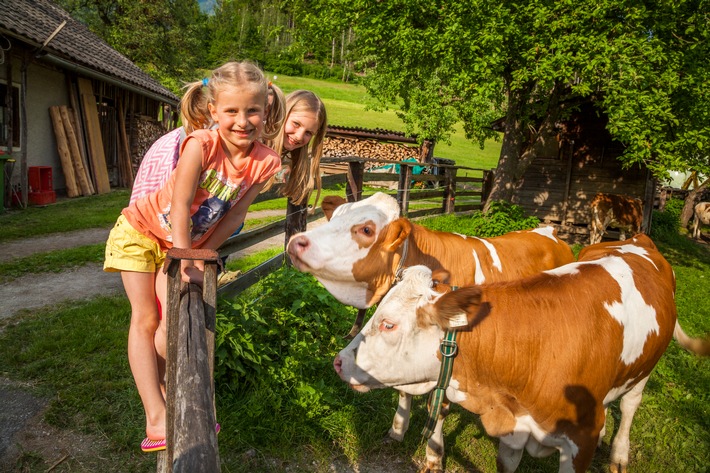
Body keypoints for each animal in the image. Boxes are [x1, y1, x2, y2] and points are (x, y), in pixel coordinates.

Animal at [286, 189, 576, 442]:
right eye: (334, 217)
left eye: (367, 229)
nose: (296, 242)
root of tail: (548, 231)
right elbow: (403, 392)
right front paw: (398, 430)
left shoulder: (450, 353)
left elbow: (439, 408)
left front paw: (433, 453)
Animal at [336, 234, 710, 470]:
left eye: (388, 325)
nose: (339, 361)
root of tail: (638, 238)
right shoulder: (513, 430)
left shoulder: (578, 444)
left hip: (644, 369)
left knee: (631, 405)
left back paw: (619, 454)